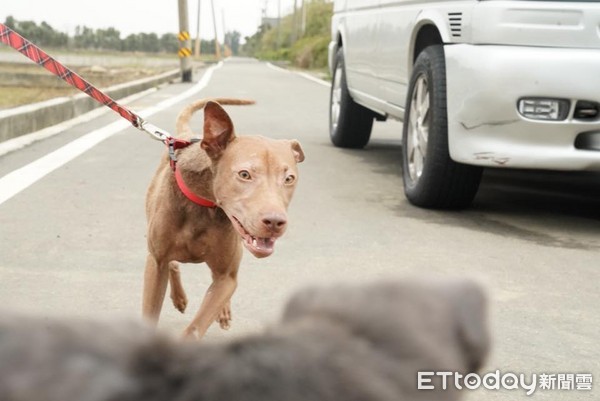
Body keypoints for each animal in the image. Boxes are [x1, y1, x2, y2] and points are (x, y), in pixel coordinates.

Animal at [142, 97, 304, 338]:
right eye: (244, 174)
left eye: (289, 178)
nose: (275, 222)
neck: (203, 205)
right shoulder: (155, 262)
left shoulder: (227, 277)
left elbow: (196, 327)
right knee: (172, 265)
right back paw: (179, 297)